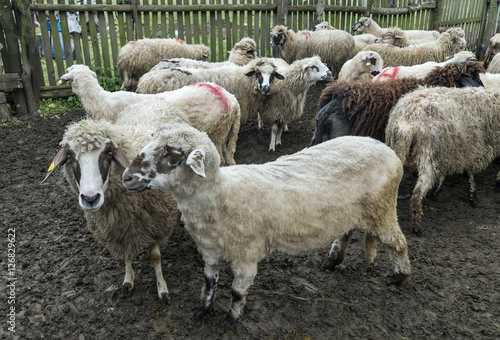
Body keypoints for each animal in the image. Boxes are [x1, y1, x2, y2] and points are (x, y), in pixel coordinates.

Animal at [120, 123, 410, 328]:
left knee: (398, 243)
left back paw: (400, 277)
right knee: (347, 233)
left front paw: (231, 320)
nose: (127, 177)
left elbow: (237, 292)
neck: (221, 194)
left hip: (382, 209)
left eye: (173, 154)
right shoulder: (210, 251)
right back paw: (333, 260)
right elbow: (209, 283)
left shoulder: (246, 257)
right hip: (352, 212)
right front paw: (203, 311)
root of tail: (384, 148)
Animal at [386, 85, 500, 234]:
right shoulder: (474, 150)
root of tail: (409, 118)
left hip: (398, 150)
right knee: (417, 194)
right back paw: (417, 225)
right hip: (429, 154)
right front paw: (475, 196)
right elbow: (472, 174)